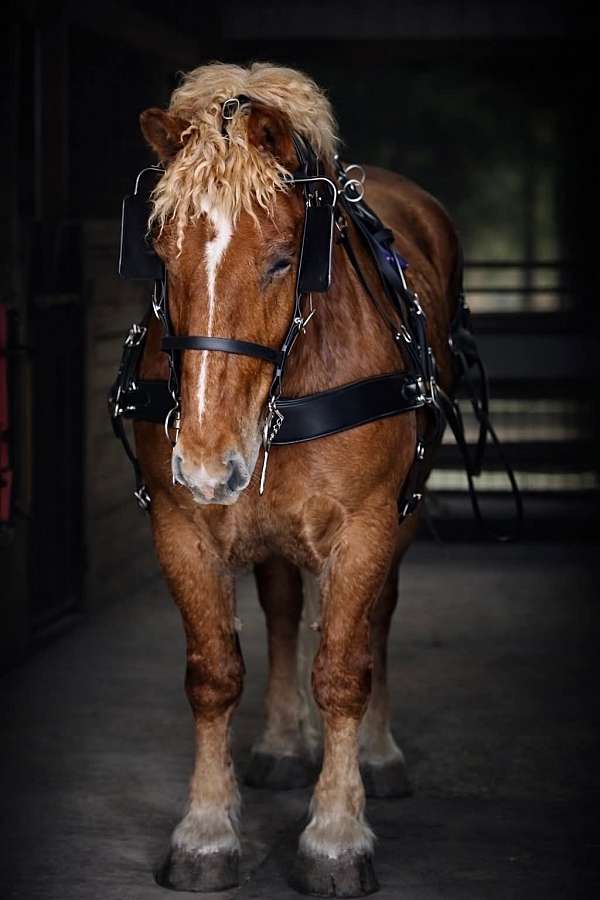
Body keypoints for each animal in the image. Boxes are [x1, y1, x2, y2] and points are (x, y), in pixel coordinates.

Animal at [132, 62, 461, 897]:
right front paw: (206, 832)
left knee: (376, 621)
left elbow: (343, 668)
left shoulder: (369, 527)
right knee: (283, 611)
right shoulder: (181, 528)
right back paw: (284, 742)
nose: (207, 462)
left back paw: (377, 755)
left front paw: (336, 836)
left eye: (283, 259)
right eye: (161, 256)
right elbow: (214, 675)